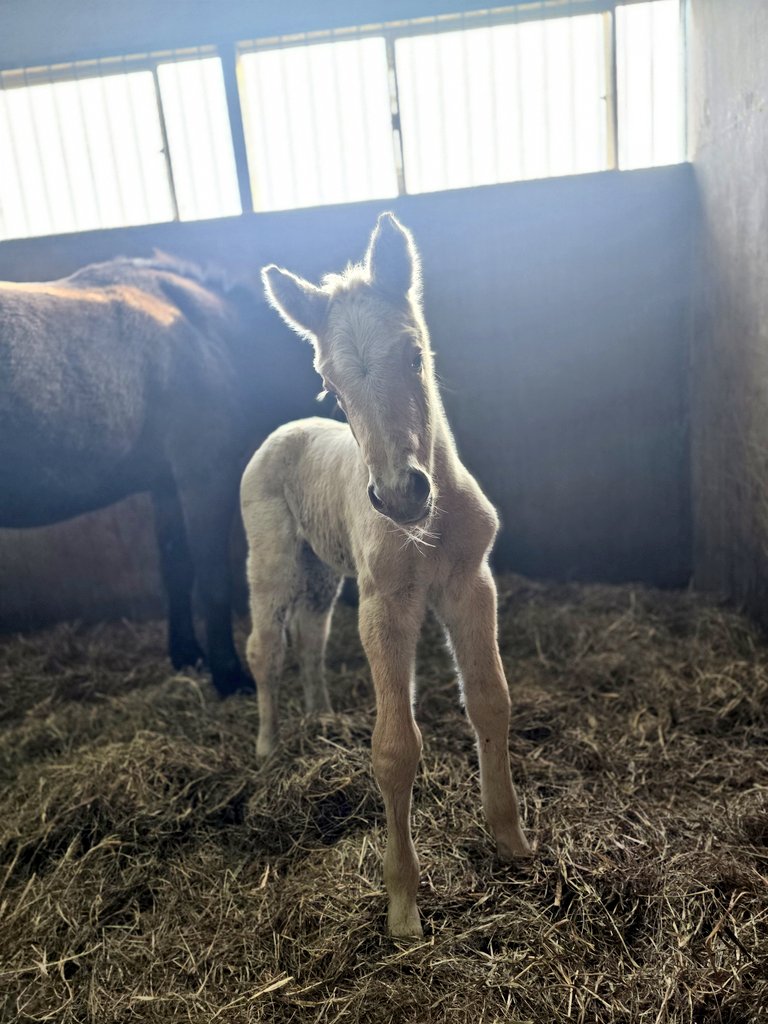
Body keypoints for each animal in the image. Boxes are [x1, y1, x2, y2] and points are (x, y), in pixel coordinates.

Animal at [0, 253, 318, 696]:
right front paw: (229, 675)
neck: (204, 330)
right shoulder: (203, 477)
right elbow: (212, 578)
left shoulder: (166, 485)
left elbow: (176, 568)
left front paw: (187, 654)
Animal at [240, 213, 531, 937]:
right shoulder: (385, 605)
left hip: (322, 572)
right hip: (273, 561)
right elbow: (396, 746)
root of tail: (285, 430)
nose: (400, 495)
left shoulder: (471, 584)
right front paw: (403, 908)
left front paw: (512, 843)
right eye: (333, 384)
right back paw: (268, 748)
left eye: (414, 354)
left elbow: (490, 700)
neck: (430, 524)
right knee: (265, 648)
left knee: (311, 637)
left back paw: (319, 718)